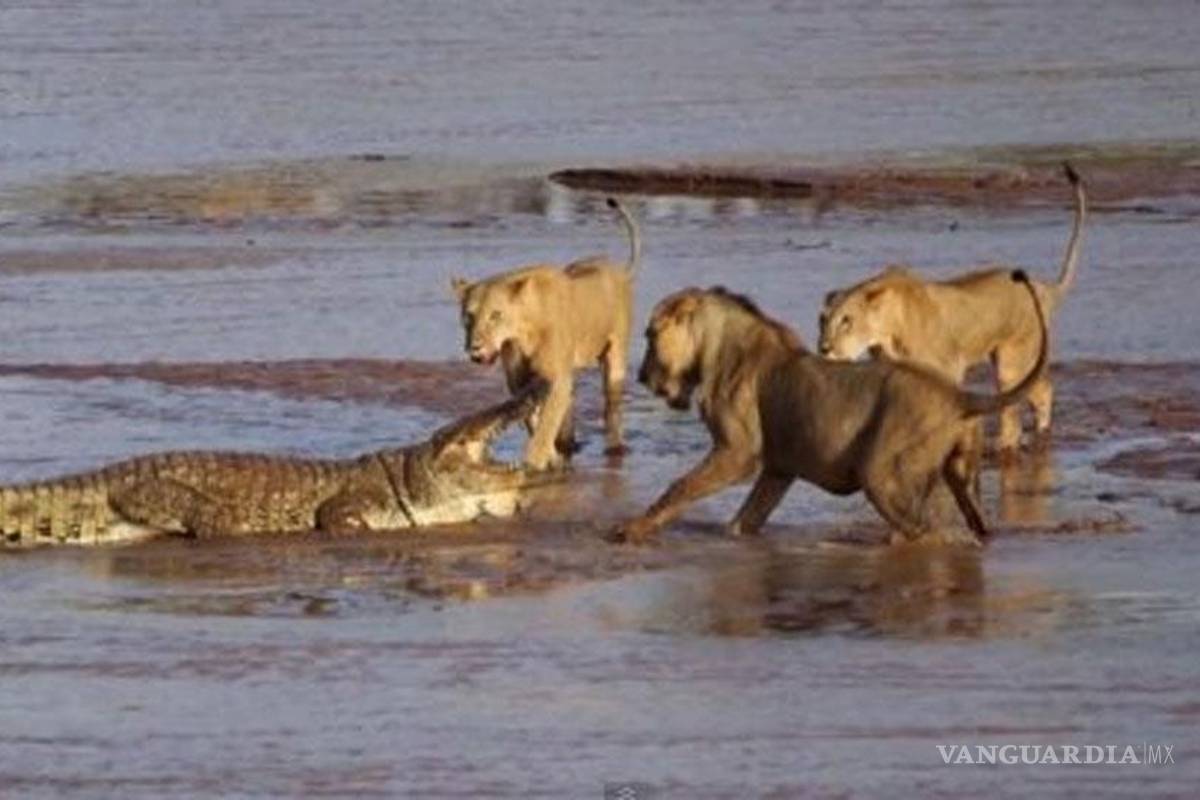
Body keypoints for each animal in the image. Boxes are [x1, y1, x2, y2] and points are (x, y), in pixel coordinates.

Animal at [451, 198, 640, 470]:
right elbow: (533, 419)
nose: (474, 347)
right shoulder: (520, 382)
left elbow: (545, 425)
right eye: (468, 316)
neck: (522, 332)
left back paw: (614, 448)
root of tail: (617, 270)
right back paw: (568, 443)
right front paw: (552, 455)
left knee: (611, 405)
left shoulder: (556, 378)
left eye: (495, 315)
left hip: (615, 357)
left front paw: (535, 461)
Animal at [612, 271, 1046, 545]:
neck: (715, 349)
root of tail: (959, 396)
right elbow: (744, 520)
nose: (641, 377)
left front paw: (631, 530)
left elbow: (680, 487)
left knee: (923, 532)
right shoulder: (778, 468)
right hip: (960, 477)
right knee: (975, 526)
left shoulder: (738, 453)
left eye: (650, 335)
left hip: (883, 474)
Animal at [818, 162, 1086, 454]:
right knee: (1040, 390)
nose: (824, 348)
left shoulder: (949, 368)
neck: (886, 332)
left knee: (1023, 408)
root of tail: (1042, 287)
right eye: (822, 320)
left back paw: (1006, 444)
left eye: (847, 320)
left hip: (1012, 360)